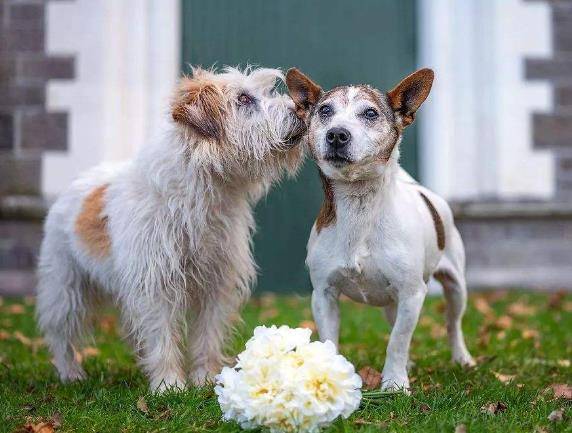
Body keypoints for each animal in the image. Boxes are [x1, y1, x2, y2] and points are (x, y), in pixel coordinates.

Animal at [36, 66, 304, 392]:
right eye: (243, 99)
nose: (302, 110)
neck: (207, 190)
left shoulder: (216, 283)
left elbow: (207, 336)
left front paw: (204, 380)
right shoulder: (156, 284)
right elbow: (162, 336)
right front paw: (168, 385)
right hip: (64, 288)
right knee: (62, 334)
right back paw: (69, 373)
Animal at [288, 67, 476, 392]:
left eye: (370, 113)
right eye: (325, 111)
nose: (336, 134)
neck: (360, 207)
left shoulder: (412, 293)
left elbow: (397, 342)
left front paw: (394, 383)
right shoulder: (323, 295)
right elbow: (331, 340)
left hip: (455, 288)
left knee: (452, 324)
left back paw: (461, 358)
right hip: (392, 302)